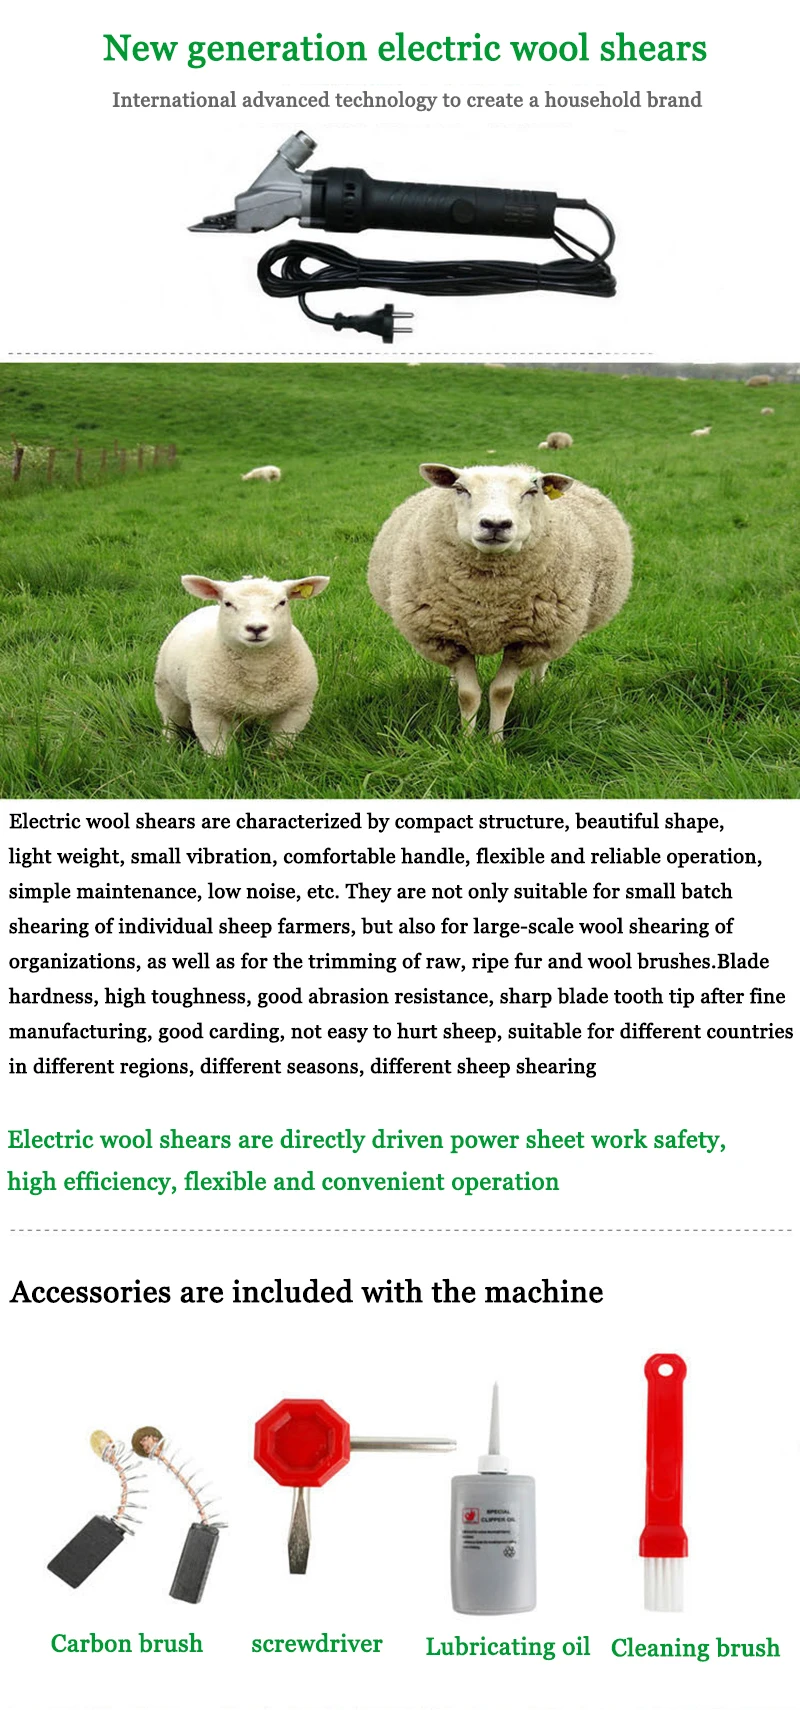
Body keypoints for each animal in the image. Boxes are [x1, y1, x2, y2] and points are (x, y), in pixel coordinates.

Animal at [154, 574, 328, 756]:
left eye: (282, 602)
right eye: (228, 603)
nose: (256, 628)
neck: (258, 667)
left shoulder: (297, 709)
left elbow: (280, 746)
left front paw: (273, 758)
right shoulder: (208, 711)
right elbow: (218, 752)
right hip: (167, 690)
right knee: (170, 722)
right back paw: (168, 746)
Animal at [367, 462, 632, 740]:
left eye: (532, 491)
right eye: (460, 489)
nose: (495, 524)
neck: (489, 604)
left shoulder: (526, 640)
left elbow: (501, 692)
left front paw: (495, 741)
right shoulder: (449, 638)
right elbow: (468, 694)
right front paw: (467, 741)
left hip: (552, 631)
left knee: (540, 664)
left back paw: (537, 690)